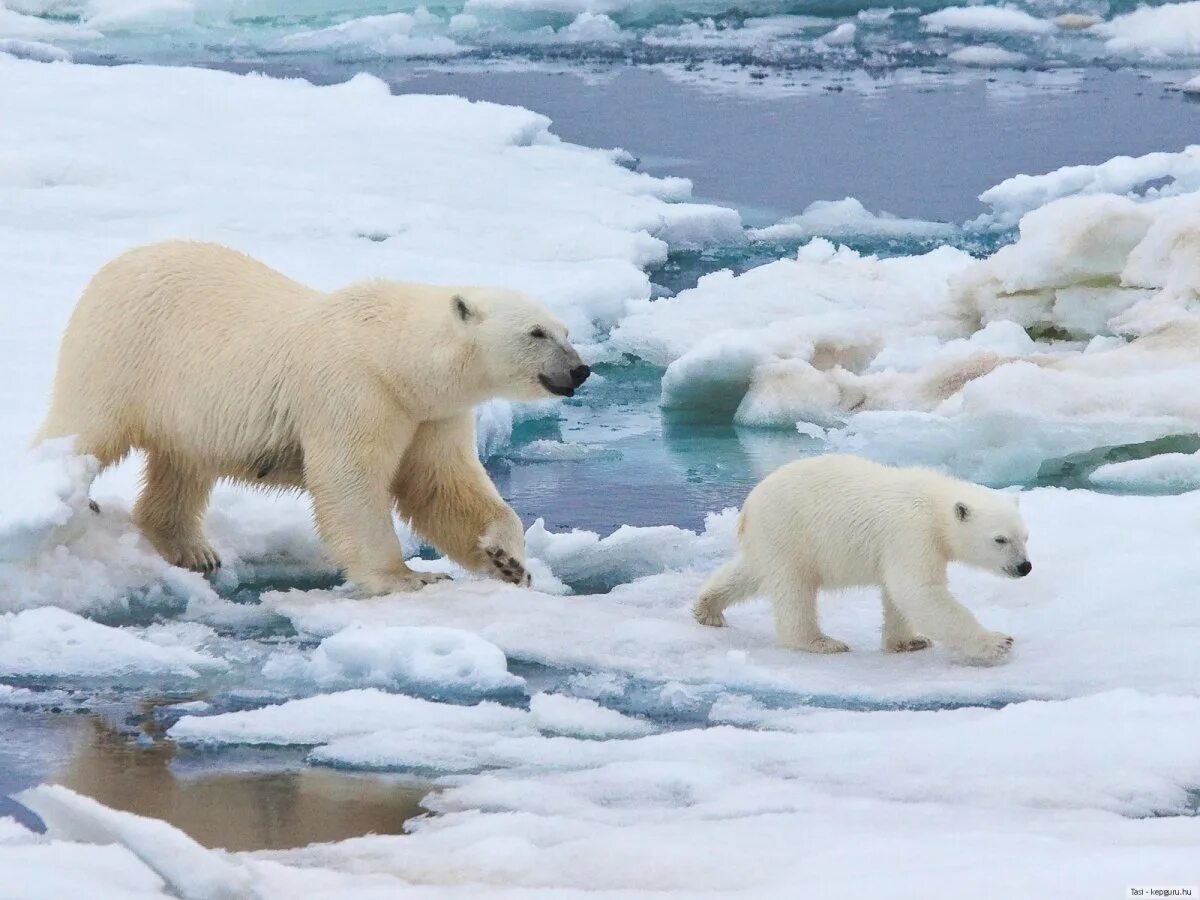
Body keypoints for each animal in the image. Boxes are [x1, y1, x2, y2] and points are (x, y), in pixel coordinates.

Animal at [39, 243, 592, 595]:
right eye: (537, 333)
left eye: (566, 330)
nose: (580, 369)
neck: (395, 354)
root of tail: (115, 266)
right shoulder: (356, 390)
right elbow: (349, 480)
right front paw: (409, 577)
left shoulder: (430, 413)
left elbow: (443, 485)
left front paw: (509, 562)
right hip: (124, 353)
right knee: (84, 427)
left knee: (183, 466)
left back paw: (193, 551)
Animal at [696, 458, 1032, 662]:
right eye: (1000, 539)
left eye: (1025, 536)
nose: (1024, 567)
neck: (934, 505)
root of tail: (748, 506)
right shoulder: (911, 532)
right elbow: (918, 590)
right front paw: (997, 642)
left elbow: (897, 595)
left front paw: (909, 642)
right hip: (789, 531)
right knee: (793, 590)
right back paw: (821, 642)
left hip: (770, 540)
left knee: (750, 572)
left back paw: (707, 609)